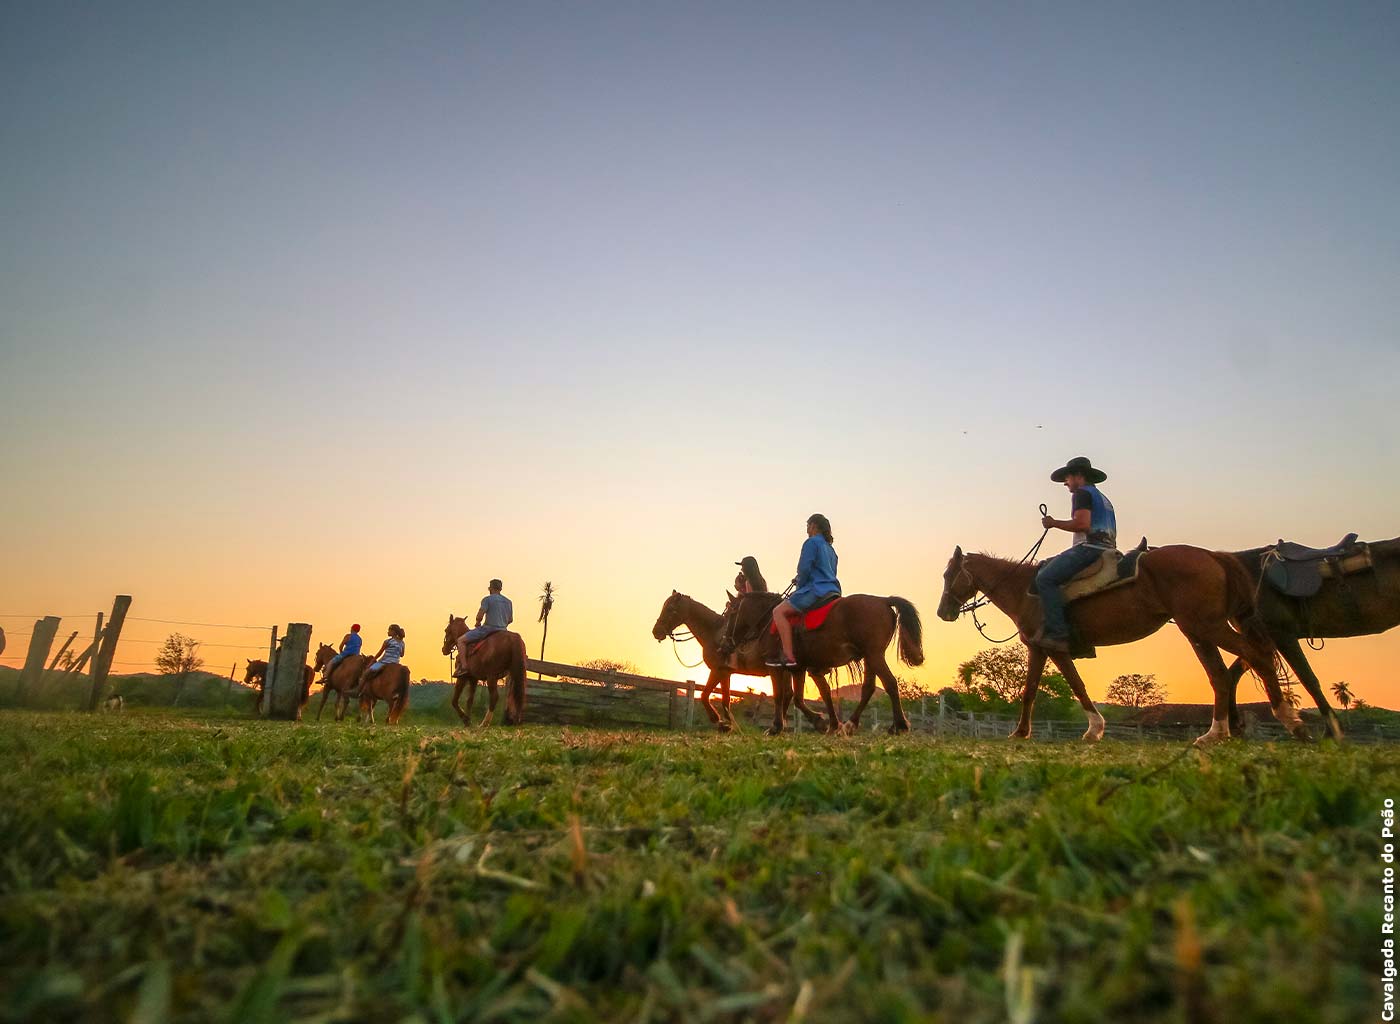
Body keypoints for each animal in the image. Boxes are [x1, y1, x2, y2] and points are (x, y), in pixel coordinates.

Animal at [716, 588, 924, 734]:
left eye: (729, 614)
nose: (723, 645)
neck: (768, 620)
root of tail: (883, 600)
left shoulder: (776, 667)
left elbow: (780, 695)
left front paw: (776, 727)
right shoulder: (798, 668)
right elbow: (800, 698)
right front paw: (825, 723)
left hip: (874, 655)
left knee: (890, 683)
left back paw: (900, 725)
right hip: (870, 658)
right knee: (868, 689)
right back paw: (851, 724)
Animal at [935, 543, 1304, 745]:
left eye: (948, 575)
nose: (943, 612)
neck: (1025, 590)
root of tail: (1212, 556)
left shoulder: (1053, 648)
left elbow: (1076, 686)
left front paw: (1094, 730)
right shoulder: (1038, 649)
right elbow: (1029, 692)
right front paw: (1021, 732)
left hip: (1206, 626)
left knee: (1254, 655)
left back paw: (1287, 719)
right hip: (1198, 630)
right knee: (1222, 675)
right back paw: (1217, 732)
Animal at [1220, 537, 1394, 739]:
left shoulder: (1280, 634)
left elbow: (1308, 679)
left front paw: (1332, 731)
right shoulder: (1262, 637)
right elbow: (1234, 673)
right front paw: (1234, 725)